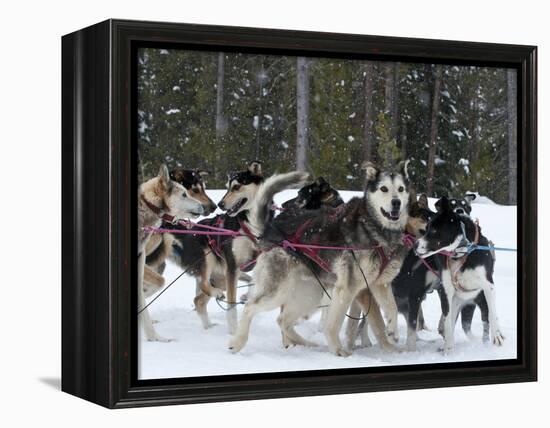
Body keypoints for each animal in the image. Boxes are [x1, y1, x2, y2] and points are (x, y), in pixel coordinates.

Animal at [229, 160, 414, 354]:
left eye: (401, 189)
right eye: (384, 189)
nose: (396, 202)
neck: (375, 229)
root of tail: (270, 230)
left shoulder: (379, 284)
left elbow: (390, 310)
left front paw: (392, 337)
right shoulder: (349, 288)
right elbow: (335, 324)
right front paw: (338, 350)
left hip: (310, 294)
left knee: (283, 321)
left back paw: (306, 344)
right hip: (280, 292)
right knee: (251, 307)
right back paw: (238, 341)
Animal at [418, 196, 504, 352]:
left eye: (433, 230)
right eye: (426, 229)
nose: (415, 245)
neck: (462, 252)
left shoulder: (488, 286)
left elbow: (492, 314)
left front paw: (497, 335)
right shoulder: (446, 290)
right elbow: (447, 322)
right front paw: (448, 348)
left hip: (479, 302)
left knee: (483, 322)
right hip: (457, 303)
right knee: (453, 323)